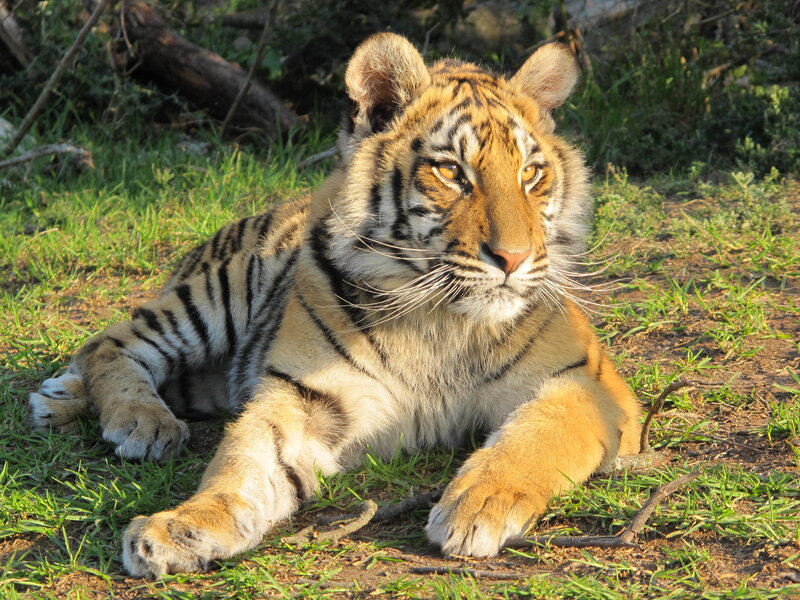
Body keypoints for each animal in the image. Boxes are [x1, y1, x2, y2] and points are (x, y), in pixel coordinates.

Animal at [28, 33, 641, 578]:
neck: (443, 316)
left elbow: (535, 438)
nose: (514, 258)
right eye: (450, 171)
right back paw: (136, 420)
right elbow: (241, 463)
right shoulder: (306, 396)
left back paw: (59, 401)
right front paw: (180, 525)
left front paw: (478, 507)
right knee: (109, 341)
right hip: (218, 293)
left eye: (531, 173)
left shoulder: (586, 382)